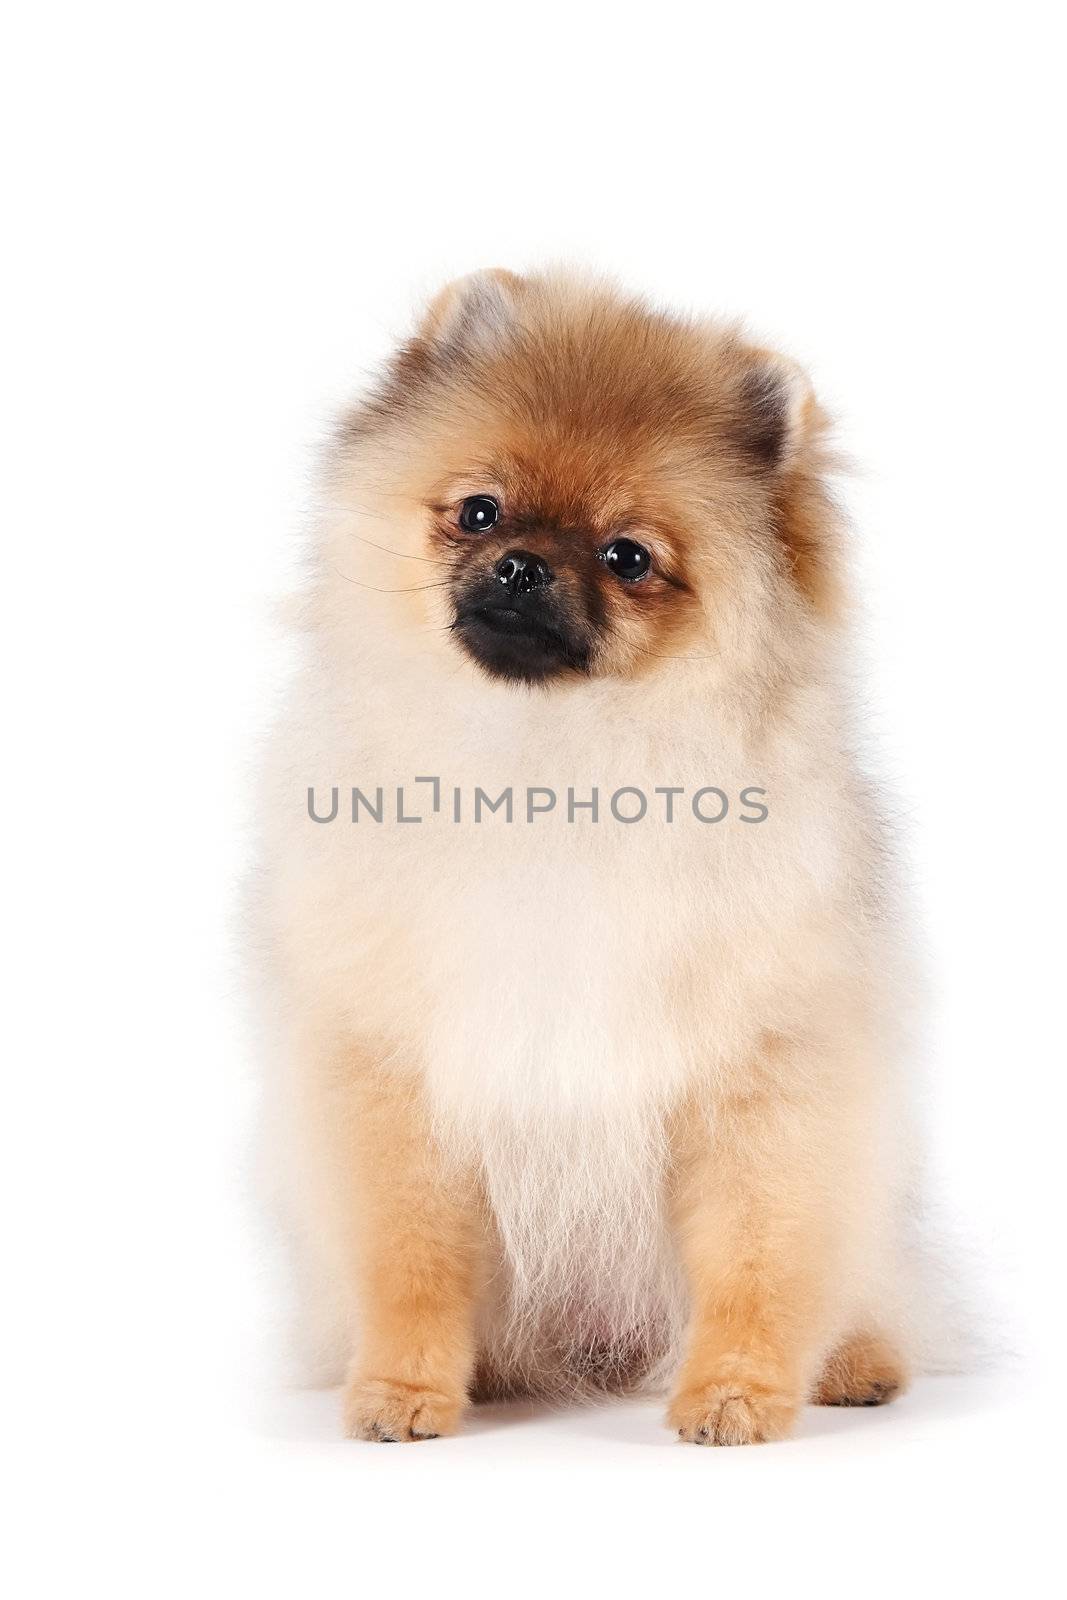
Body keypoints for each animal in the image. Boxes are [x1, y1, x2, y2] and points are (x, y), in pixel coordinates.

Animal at [255, 268, 921, 1446]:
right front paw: (402, 1389)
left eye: (626, 556)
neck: (551, 763)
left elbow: (759, 1255)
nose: (523, 567)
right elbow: (410, 1261)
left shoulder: (762, 1077)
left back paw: (852, 1362)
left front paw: (735, 1392)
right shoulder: (396, 1080)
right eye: (480, 510)